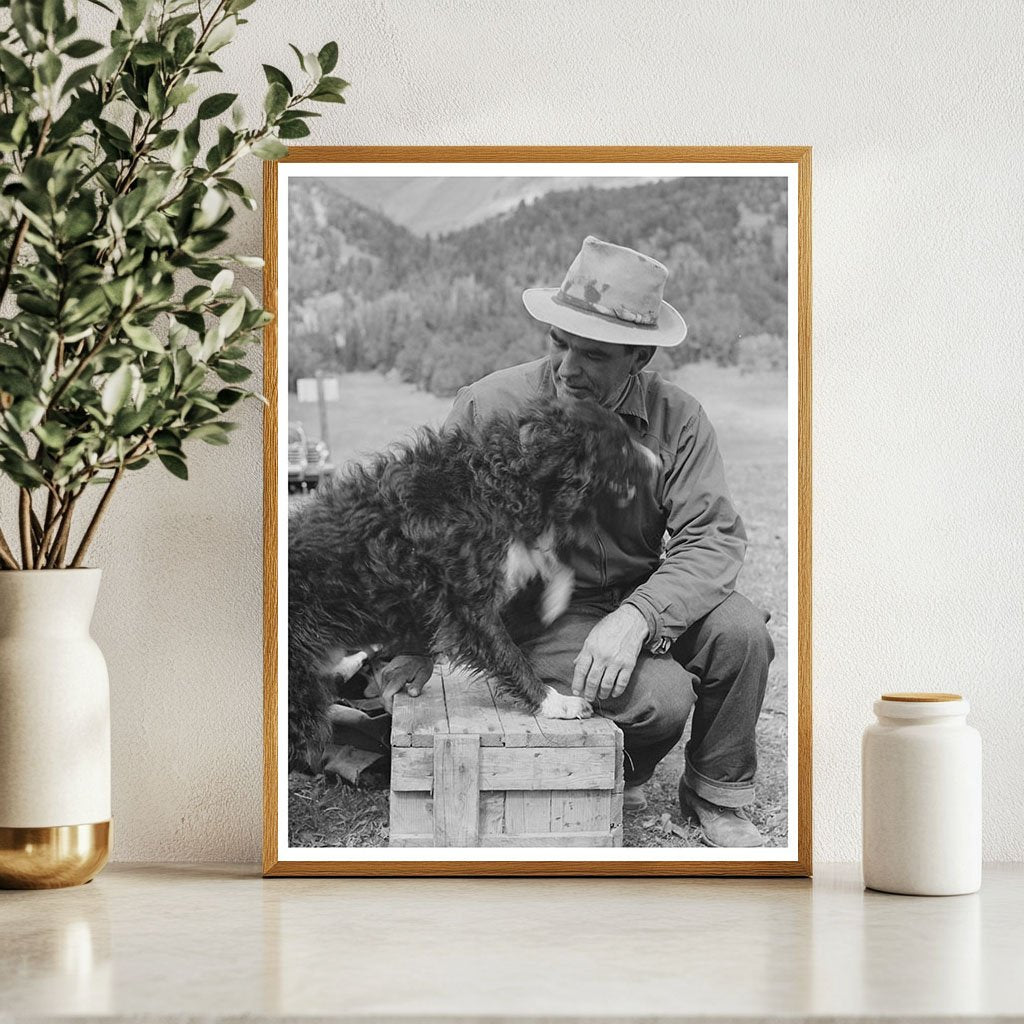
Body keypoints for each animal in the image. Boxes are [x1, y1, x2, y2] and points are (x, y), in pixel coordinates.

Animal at [288, 397, 655, 770]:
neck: (503, 478)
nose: (658, 462)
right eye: (622, 447)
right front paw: (555, 703)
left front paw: (553, 597)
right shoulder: (466, 597)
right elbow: (507, 652)